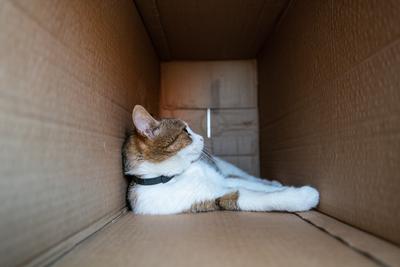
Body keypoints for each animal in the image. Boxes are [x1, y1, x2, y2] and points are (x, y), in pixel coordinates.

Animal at [122, 104, 318, 216]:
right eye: (186, 132)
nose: (203, 138)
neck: (173, 176)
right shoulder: (214, 197)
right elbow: (258, 196)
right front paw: (303, 196)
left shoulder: (222, 180)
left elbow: (257, 186)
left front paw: (284, 188)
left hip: (227, 169)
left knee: (250, 178)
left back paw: (273, 182)